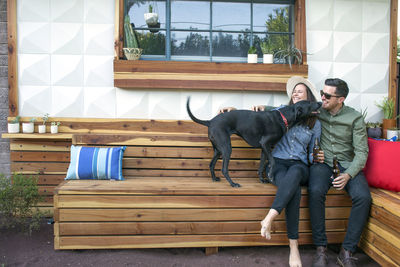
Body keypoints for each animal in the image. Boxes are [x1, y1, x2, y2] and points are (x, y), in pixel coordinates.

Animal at [188, 98, 322, 188]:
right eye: (310, 103)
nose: (320, 102)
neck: (284, 117)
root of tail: (210, 121)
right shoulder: (265, 144)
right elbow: (272, 161)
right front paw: (271, 176)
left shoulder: (264, 148)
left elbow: (261, 165)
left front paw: (262, 179)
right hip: (226, 148)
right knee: (224, 169)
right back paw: (233, 183)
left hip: (218, 149)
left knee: (211, 164)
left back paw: (214, 178)